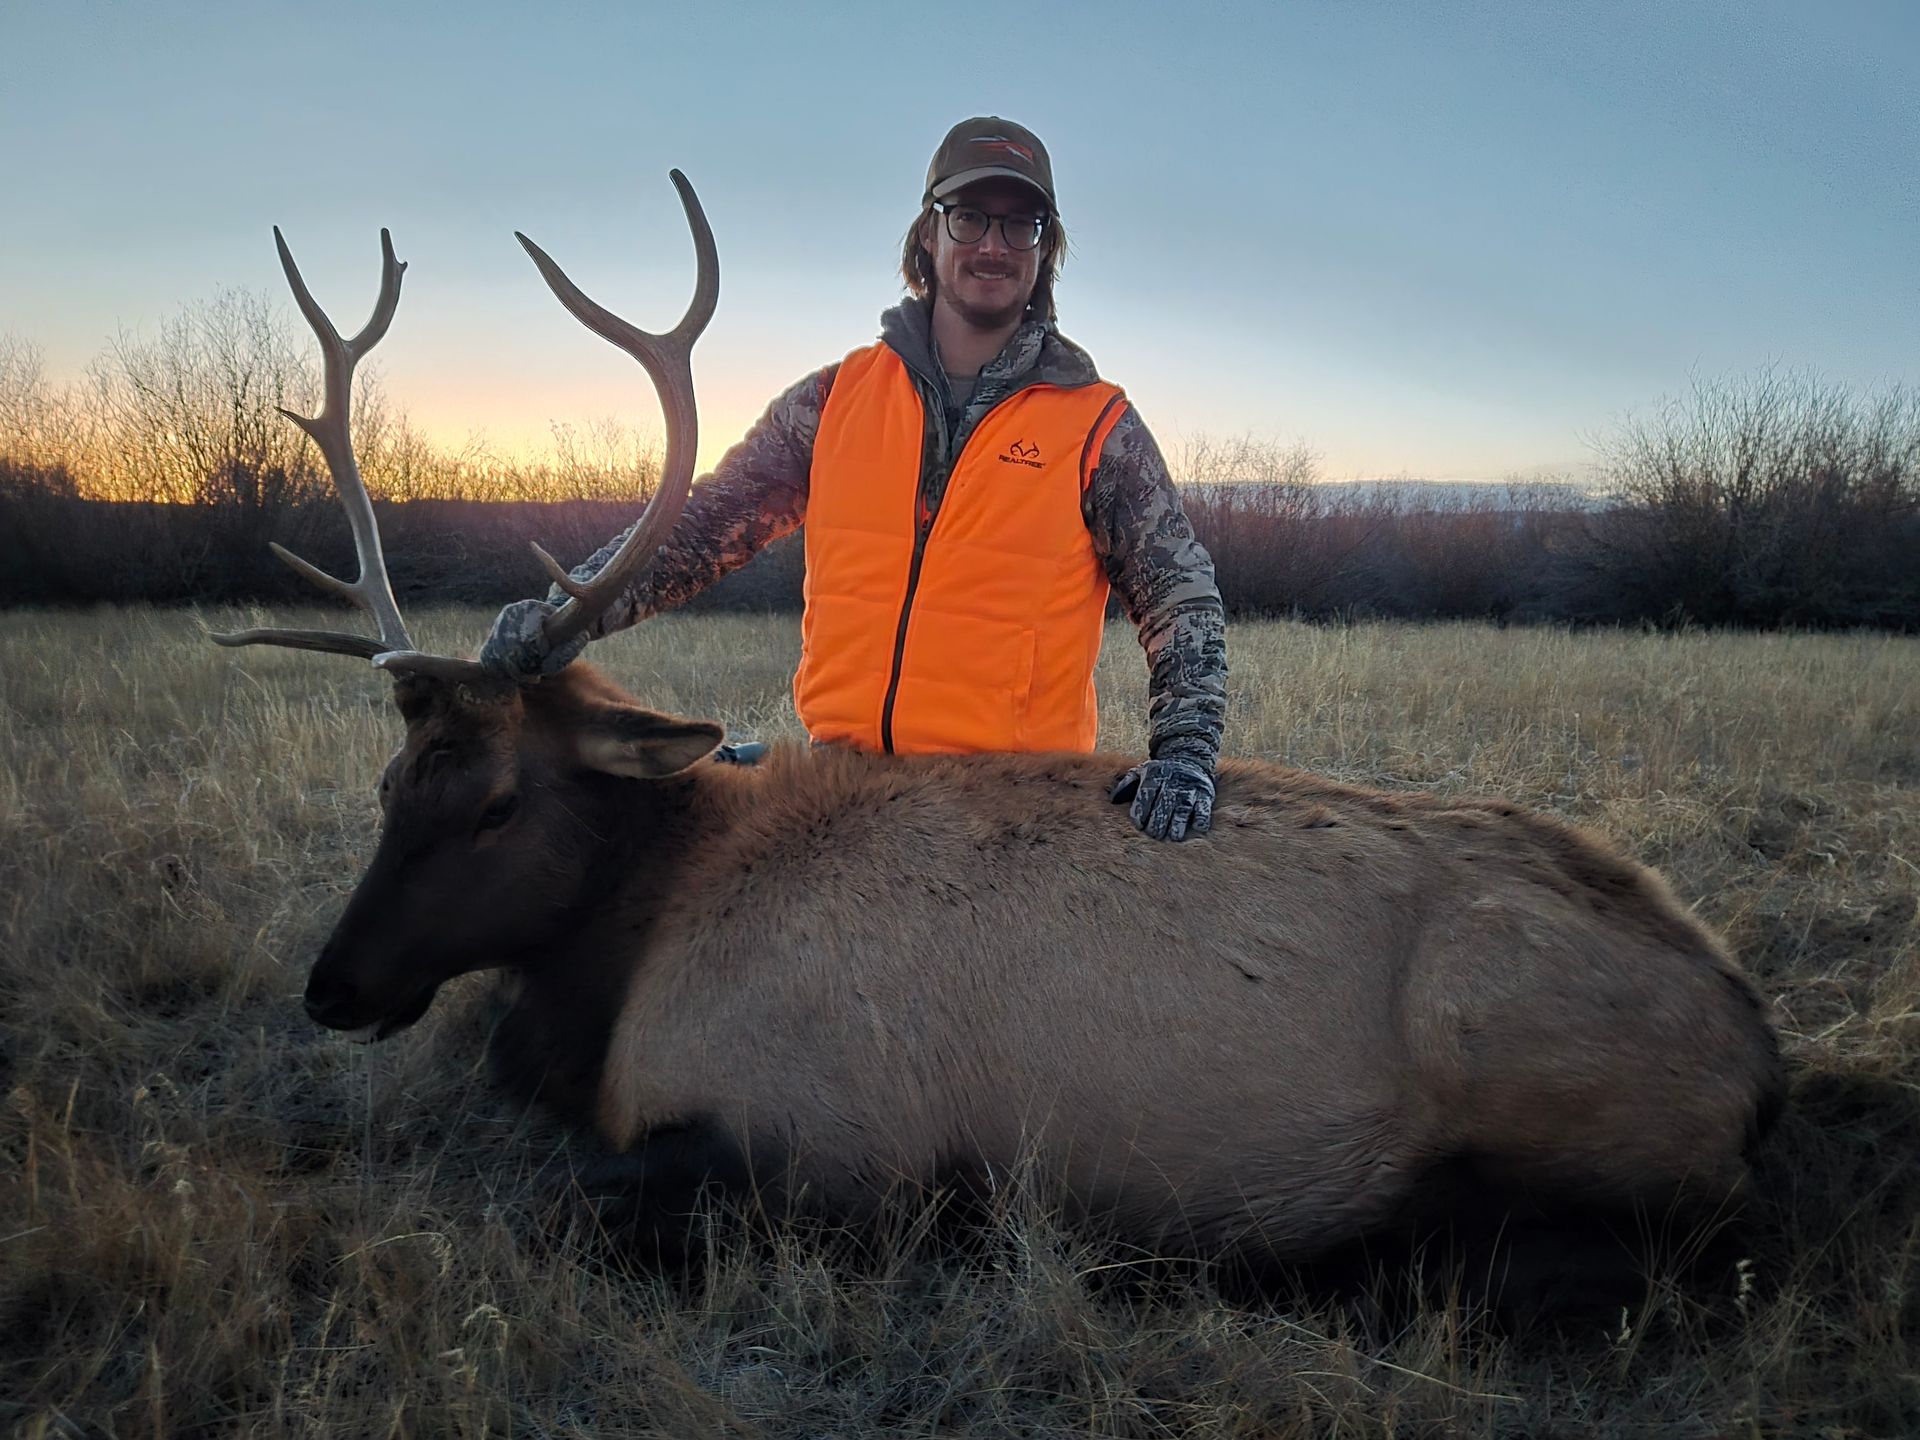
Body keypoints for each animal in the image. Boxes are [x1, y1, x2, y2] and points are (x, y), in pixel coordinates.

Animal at [211, 174, 1783, 1299]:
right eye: (389, 781)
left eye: (494, 802)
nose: (334, 987)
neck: (630, 966)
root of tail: (1757, 1048)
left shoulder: (829, 1137)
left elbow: (571, 1205)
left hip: (1533, 1072)